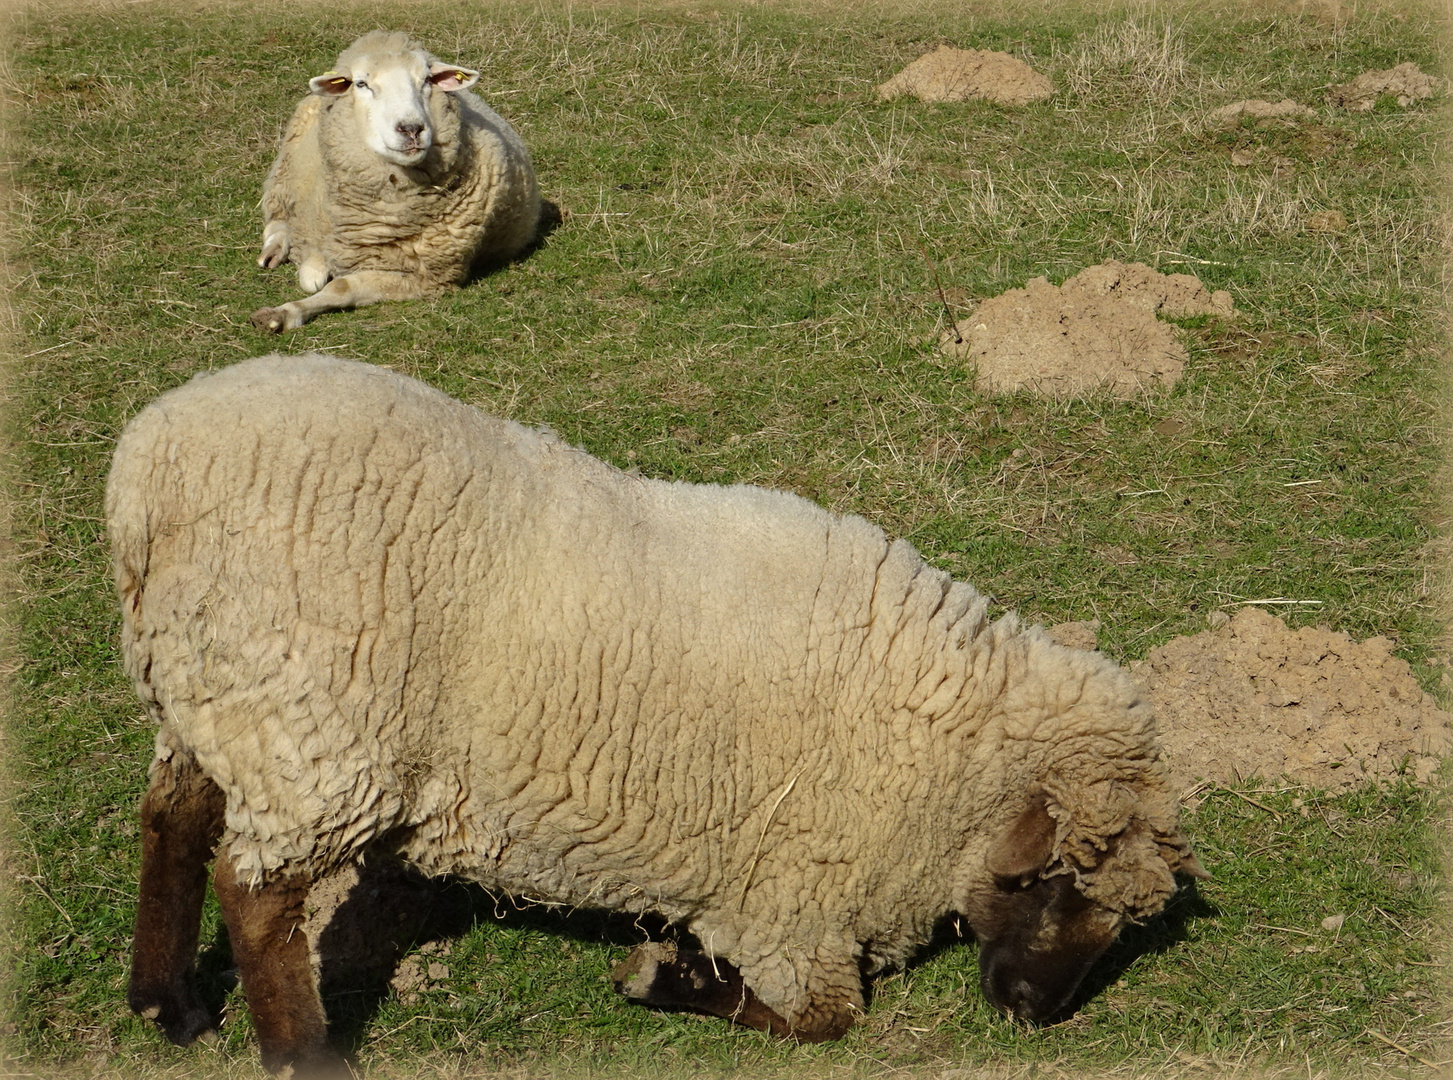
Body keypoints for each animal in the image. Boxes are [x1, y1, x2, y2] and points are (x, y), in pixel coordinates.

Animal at [110, 353, 1203, 1075]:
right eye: (1059, 881)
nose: (1031, 1012)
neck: (948, 752)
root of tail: (149, 474)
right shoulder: (792, 899)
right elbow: (824, 1019)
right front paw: (664, 977)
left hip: (216, 693)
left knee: (173, 820)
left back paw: (169, 1004)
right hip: (311, 722)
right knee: (255, 891)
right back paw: (302, 1055)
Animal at [249, 32, 540, 334]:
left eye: (427, 80)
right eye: (361, 83)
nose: (411, 129)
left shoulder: (423, 276)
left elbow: (340, 287)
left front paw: (285, 311)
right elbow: (312, 277)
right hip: (286, 166)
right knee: (276, 217)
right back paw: (273, 249)